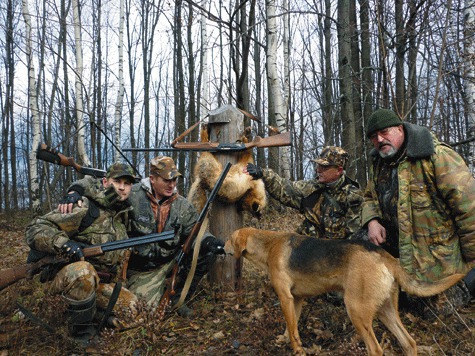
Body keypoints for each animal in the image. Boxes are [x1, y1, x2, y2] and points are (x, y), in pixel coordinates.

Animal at [225, 228, 466, 356]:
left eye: (228, 239)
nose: (221, 245)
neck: (268, 245)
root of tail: (386, 256)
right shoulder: (297, 299)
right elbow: (290, 326)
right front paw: (284, 339)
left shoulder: (285, 297)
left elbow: (293, 331)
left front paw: (296, 350)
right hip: (385, 311)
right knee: (409, 342)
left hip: (357, 311)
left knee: (376, 350)